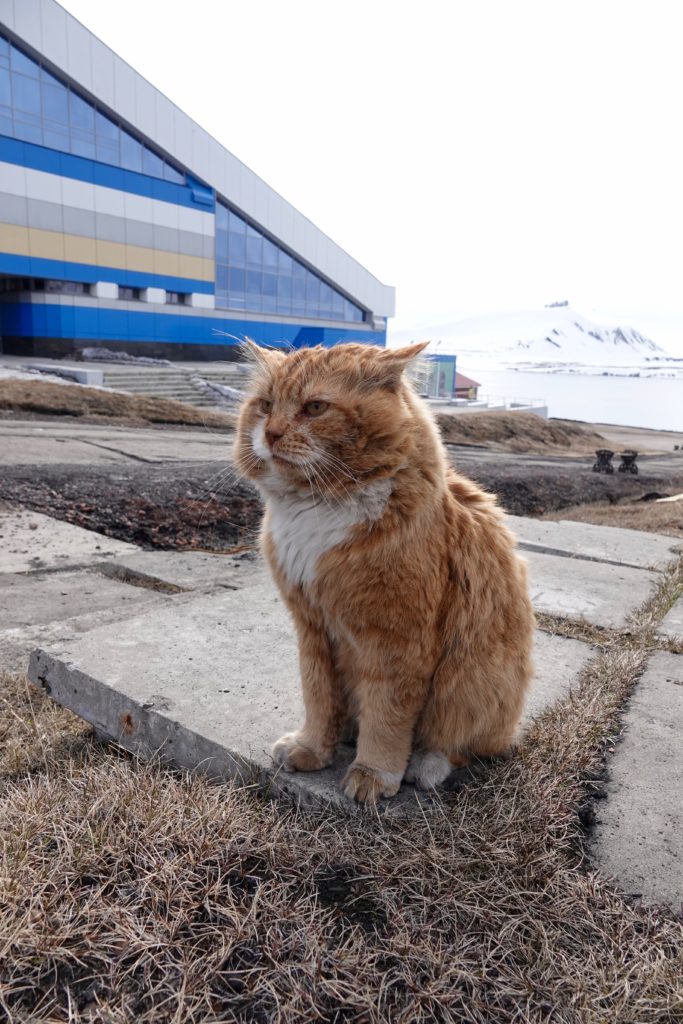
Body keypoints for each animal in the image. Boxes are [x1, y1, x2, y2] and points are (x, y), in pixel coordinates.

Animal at [234, 340, 535, 804]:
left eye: (315, 407)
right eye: (265, 405)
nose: (272, 434)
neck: (317, 508)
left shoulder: (396, 641)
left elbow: (387, 718)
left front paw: (374, 774)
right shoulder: (312, 628)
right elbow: (319, 698)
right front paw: (313, 748)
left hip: (472, 678)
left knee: (459, 744)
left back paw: (424, 766)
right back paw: (345, 734)